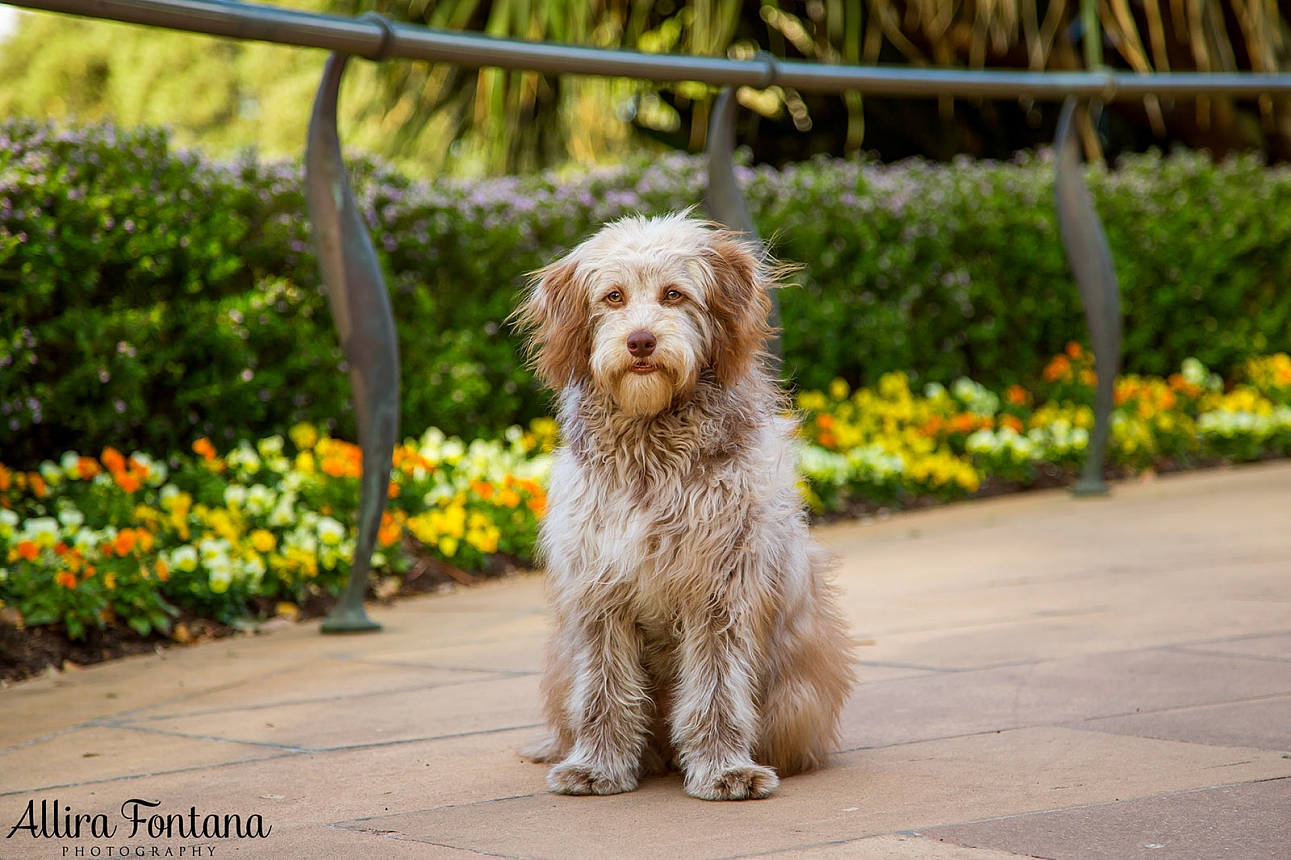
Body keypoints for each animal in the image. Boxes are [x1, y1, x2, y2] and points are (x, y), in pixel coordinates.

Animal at [513, 213, 857, 795]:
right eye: (613, 296)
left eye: (674, 294)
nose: (640, 341)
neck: (651, 450)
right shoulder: (600, 590)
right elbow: (604, 688)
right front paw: (597, 765)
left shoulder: (719, 589)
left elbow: (716, 688)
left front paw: (724, 768)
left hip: (797, 691)